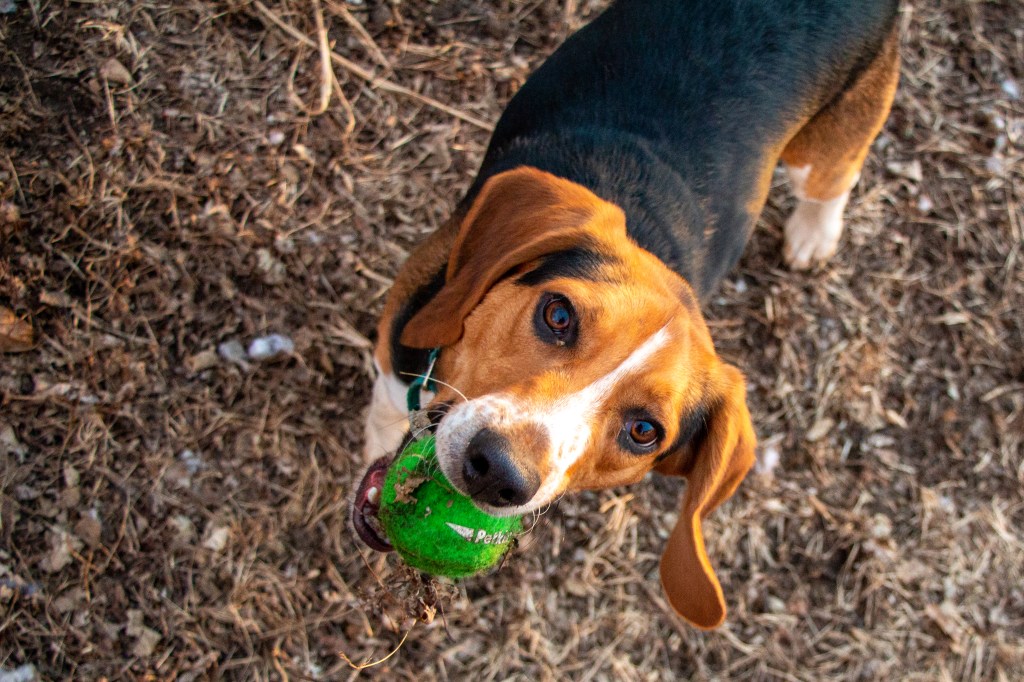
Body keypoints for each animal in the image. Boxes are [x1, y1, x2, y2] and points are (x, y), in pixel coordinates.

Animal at [352, 0, 900, 629]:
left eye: (643, 432)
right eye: (558, 316)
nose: (497, 472)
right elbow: (385, 411)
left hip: (828, 148)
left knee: (835, 180)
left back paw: (814, 234)